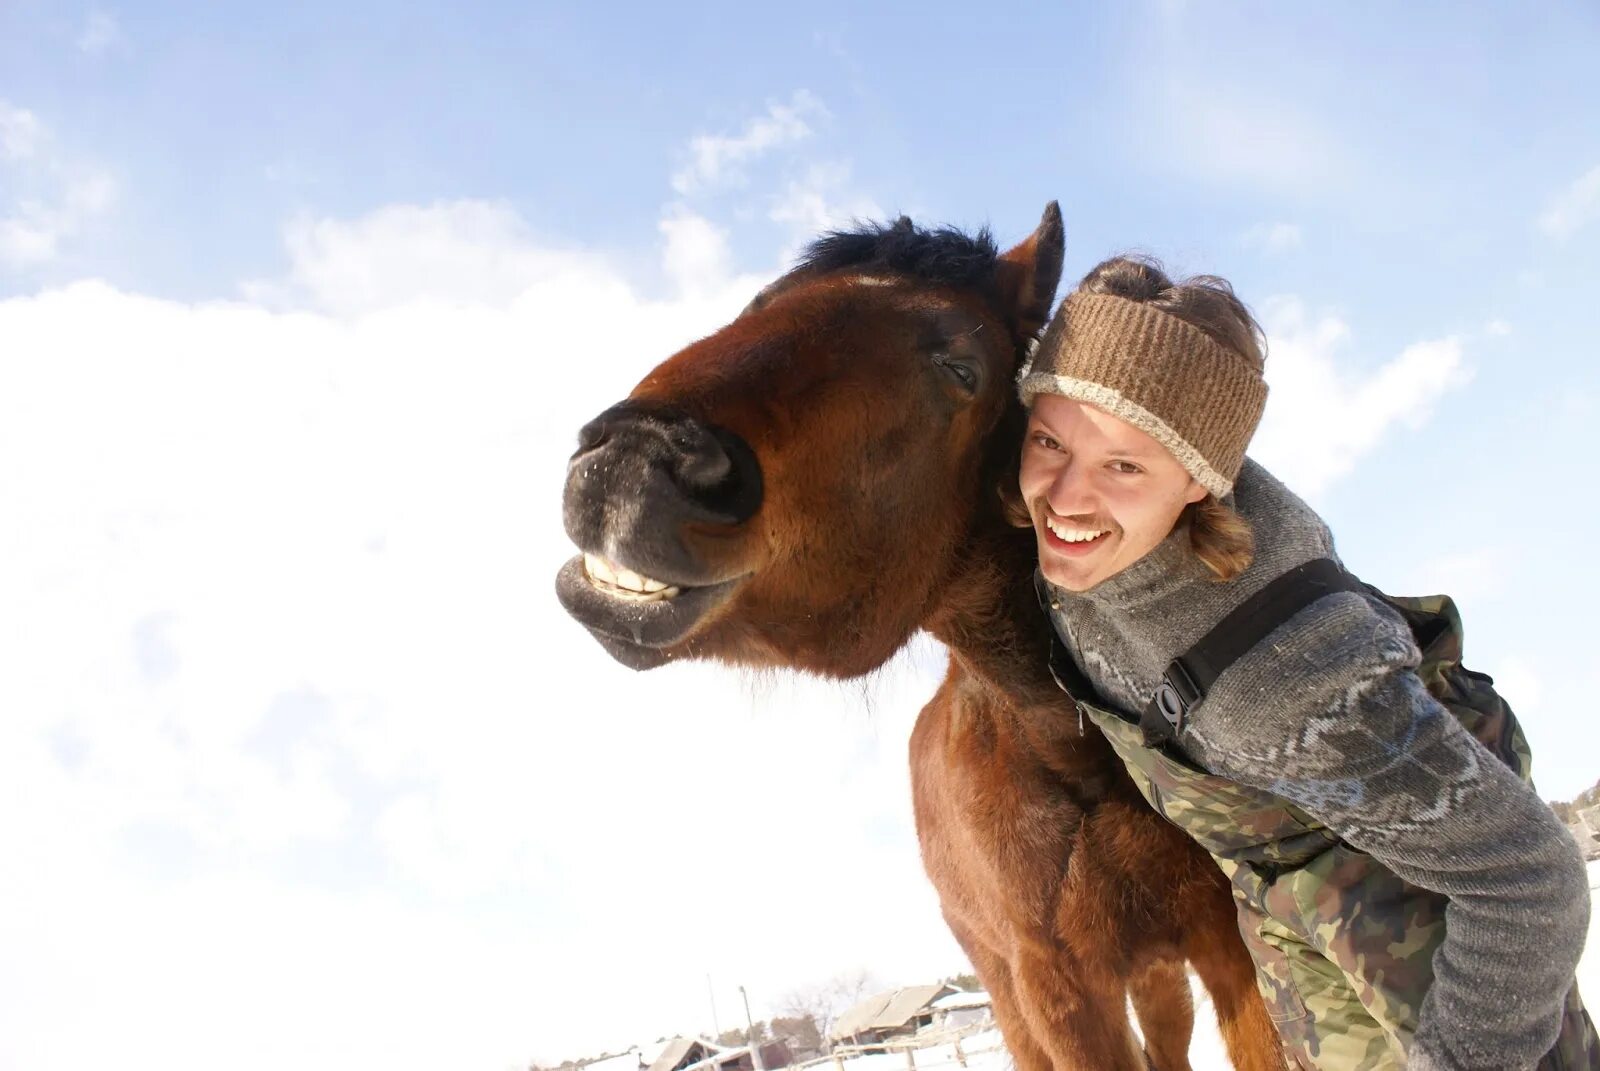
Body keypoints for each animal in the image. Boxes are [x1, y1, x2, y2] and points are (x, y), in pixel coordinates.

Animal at [563, 202, 1286, 1069]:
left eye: (961, 368)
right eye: (756, 306)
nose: (632, 460)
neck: (1078, 750)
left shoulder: (1233, 947)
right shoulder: (1060, 992)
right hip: (1013, 991)